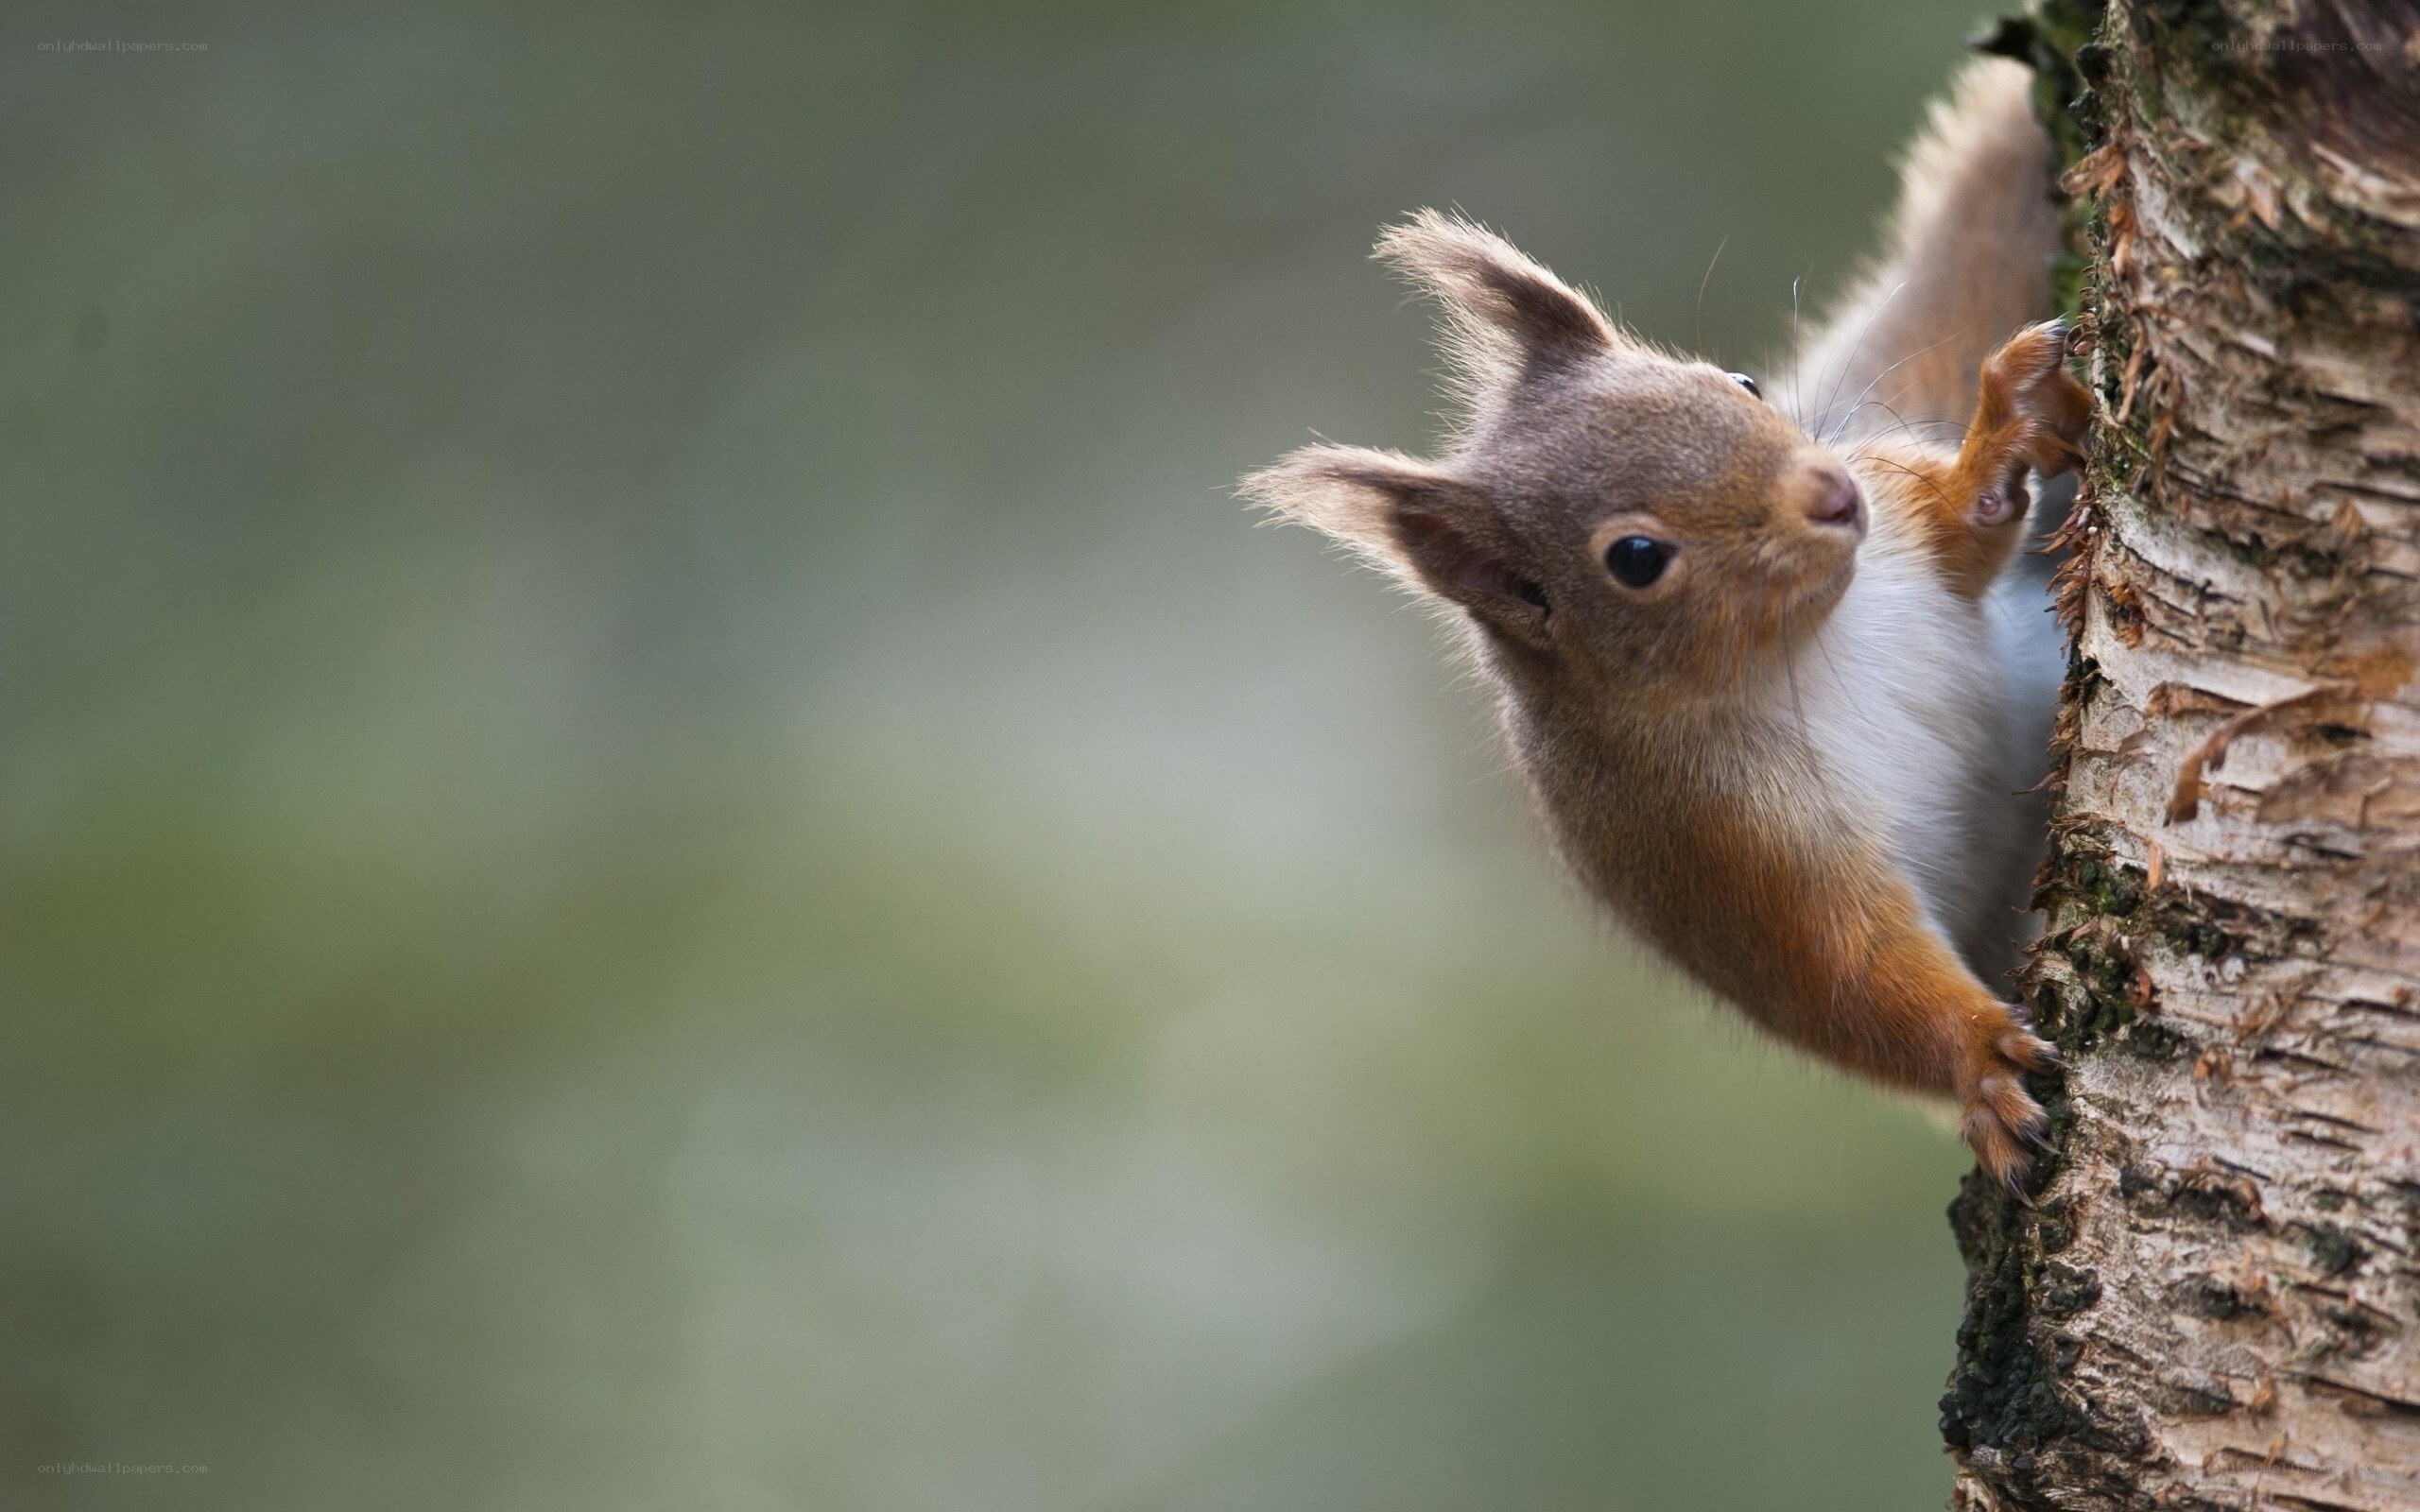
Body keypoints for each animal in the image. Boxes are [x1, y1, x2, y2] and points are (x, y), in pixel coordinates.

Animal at [1242, 59, 2089, 1190]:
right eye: (1636, 559)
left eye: (1739, 383)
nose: (1832, 496)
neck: (1803, 642)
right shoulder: (1716, 851)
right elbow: (1849, 978)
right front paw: (1979, 1064)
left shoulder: (1904, 538)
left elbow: (1970, 534)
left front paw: (2006, 427)